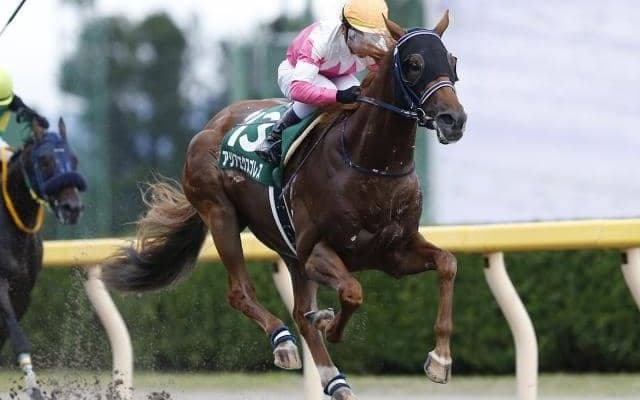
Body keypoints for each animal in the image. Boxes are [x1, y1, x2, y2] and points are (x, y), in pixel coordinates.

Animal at [0, 118, 86, 399]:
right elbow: (18, 337)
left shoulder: (23, 291)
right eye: (45, 160)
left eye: (74, 158)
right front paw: (35, 390)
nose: (72, 208)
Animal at [102, 12, 466, 400]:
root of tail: (211, 124)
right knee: (241, 292)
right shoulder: (315, 251)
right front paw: (329, 323)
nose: (453, 119)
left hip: (287, 250)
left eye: (452, 60)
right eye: (414, 64)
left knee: (299, 311)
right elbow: (352, 292)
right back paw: (284, 342)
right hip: (222, 215)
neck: (371, 164)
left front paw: (440, 359)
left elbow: (448, 263)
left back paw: (335, 380)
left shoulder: (393, 252)